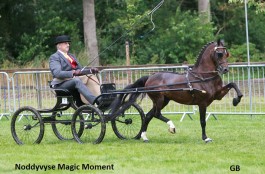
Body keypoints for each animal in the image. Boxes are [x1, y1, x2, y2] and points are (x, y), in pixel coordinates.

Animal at [109, 39, 241, 143]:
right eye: (219, 54)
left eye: (226, 54)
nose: (225, 69)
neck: (202, 76)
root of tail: (149, 77)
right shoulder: (202, 103)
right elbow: (203, 121)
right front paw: (205, 138)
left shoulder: (218, 96)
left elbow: (233, 84)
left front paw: (236, 100)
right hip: (159, 99)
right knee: (156, 114)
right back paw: (171, 127)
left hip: (163, 101)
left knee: (148, 115)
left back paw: (144, 137)